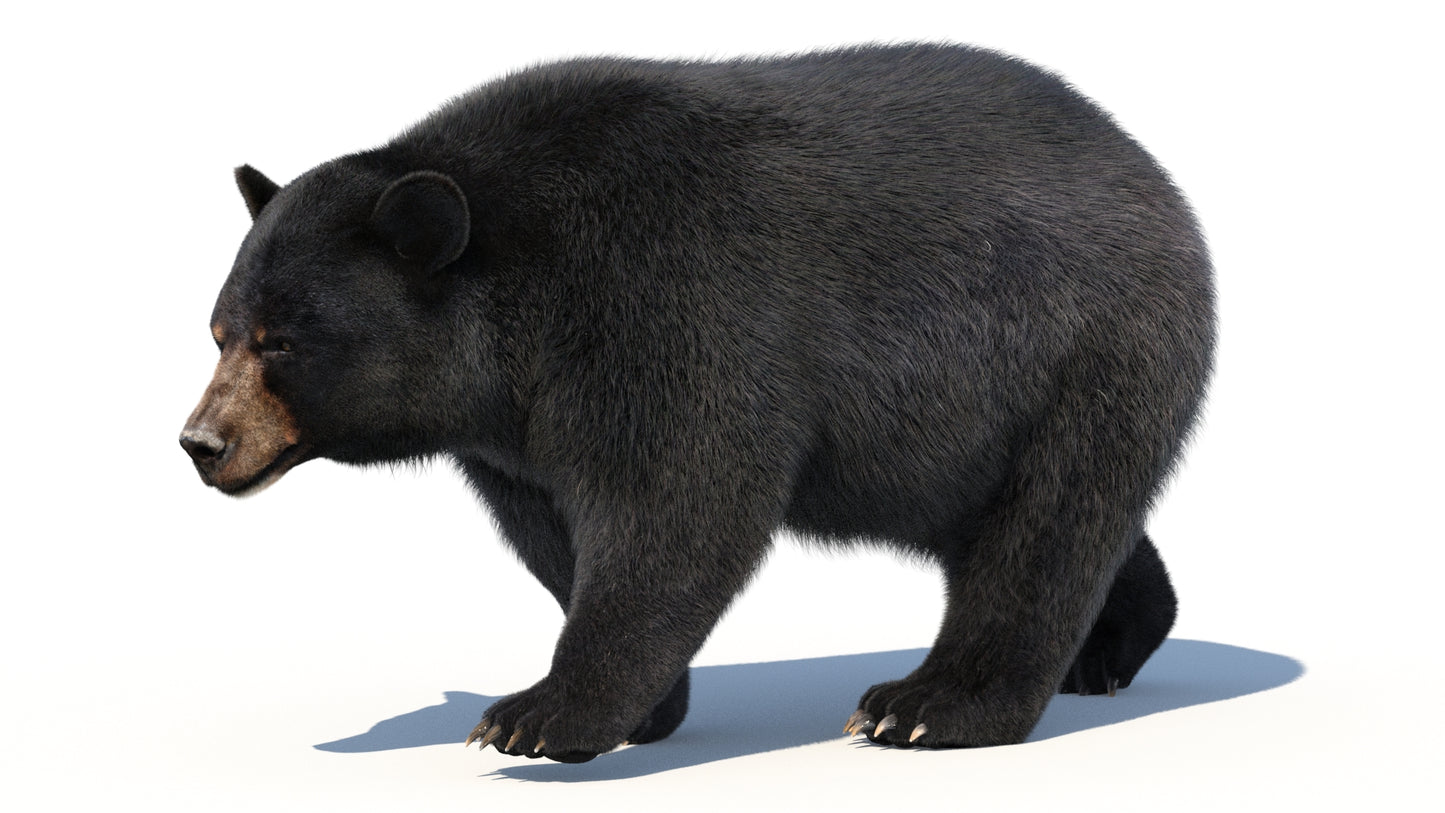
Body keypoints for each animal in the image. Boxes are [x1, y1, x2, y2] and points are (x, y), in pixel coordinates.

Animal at [181, 43, 1212, 763]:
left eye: (282, 340)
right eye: (220, 329)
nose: (201, 442)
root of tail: (1152, 173)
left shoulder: (665, 305)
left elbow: (678, 504)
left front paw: (536, 715)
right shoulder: (514, 434)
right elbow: (556, 534)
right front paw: (642, 707)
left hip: (1076, 349)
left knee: (1048, 519)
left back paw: (928, 705)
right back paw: (1105, 650)